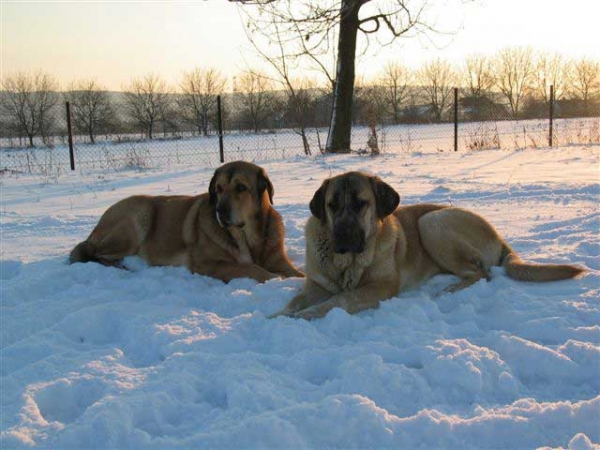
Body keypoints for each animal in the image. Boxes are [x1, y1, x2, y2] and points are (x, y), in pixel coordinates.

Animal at [69, 161, 304, 282]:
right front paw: (277, 279)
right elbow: (252, 269)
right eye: (218, 188)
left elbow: (297, 272)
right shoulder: (208, 264)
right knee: (95, 253)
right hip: (139, 215)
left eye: (241, 188)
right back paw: (123, 267)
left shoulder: (278, 259)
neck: (249, 236)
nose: (219, 211)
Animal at [272, 171, 580, 320]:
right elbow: (294, 301)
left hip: (432, 222)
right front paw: (278, 315)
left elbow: (339, 300)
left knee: (481, 273)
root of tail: (499, 236)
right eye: (332, 206)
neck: (347, 264)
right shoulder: (315, 285)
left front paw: (306, 316)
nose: (342, 236)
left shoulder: (381, 287)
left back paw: (448, 291)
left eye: (361, 204)